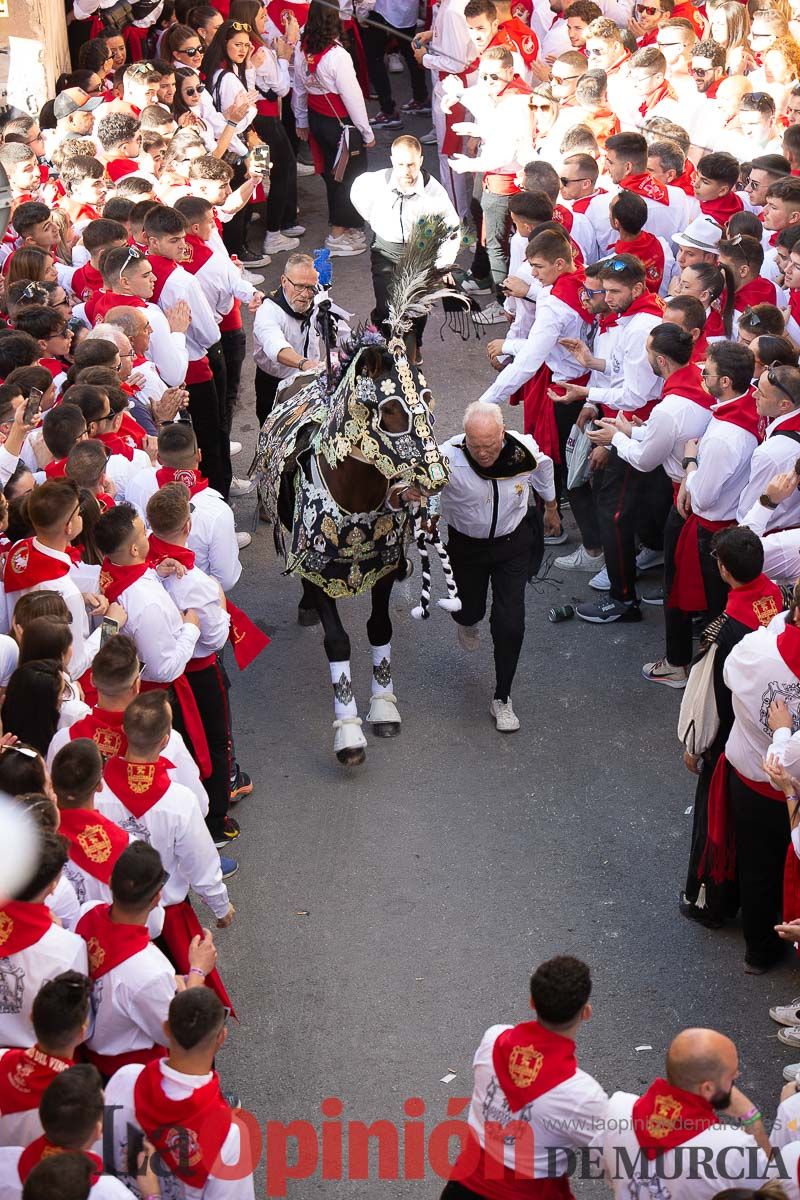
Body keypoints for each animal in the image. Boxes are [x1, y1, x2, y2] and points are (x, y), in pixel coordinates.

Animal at [250, 224, 462, 763]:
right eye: (390, 411)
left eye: (427, 398)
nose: (435, 476)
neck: (355, 497)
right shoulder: (317, 564)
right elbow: (339, 642)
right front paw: (348, 733)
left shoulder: (384, 565)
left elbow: (379, 630)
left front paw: (384, 708)